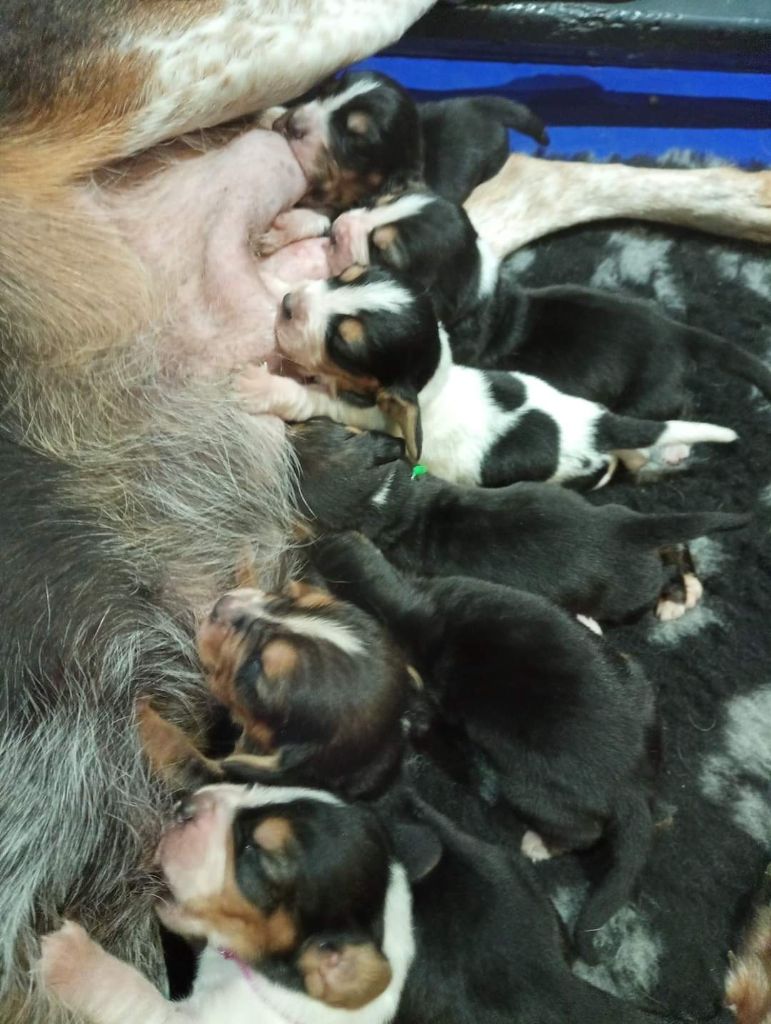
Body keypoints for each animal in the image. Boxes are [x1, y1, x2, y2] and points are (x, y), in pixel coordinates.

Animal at [286, 417, 745, 622]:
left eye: (311, 422)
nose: (285, 423)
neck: (383, 495)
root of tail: (625, 531)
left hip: (624, 593)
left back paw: (672, 599)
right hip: (620, 512)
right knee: (674, 543)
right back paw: (684, 589)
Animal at [311, 532, 655, 962]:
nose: (316, 542)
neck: (403, 602)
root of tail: (632, 781)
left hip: (531, 790)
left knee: (582, 832)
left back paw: (540, 843)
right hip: (638, 683)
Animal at [327, 190, 769, 417]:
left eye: (383, 250)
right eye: (380, 201)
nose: (336, 228)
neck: (476, 288)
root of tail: (679, 333)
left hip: (648, 394)